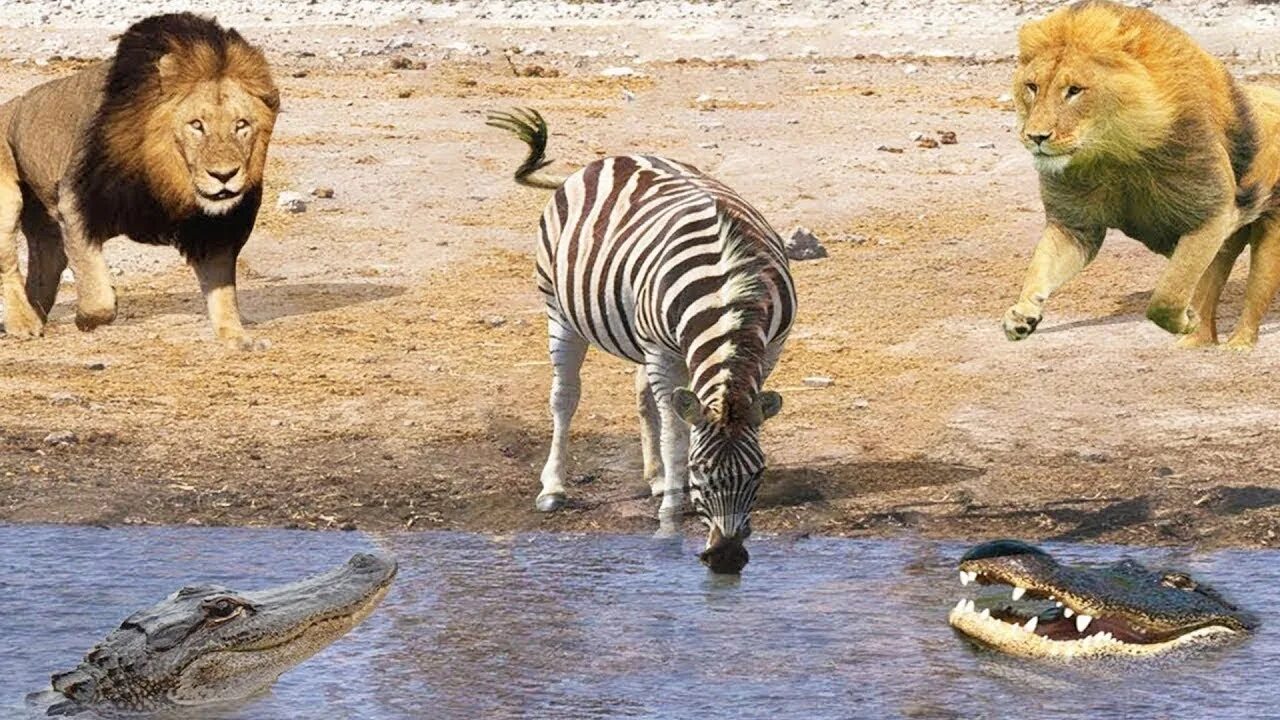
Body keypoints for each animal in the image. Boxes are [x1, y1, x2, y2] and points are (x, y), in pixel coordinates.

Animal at [0, 11, 279, 348]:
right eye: (196, 125)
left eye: (241, 125)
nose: (224, 175)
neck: (167, 178)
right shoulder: (76, 202)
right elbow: (97, 292)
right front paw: (88, 318)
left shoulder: (214, 230)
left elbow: (223, 291)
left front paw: (237, 337)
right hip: (8, 199)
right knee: (8, 264)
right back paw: (22, 322)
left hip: (44, 223)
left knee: (47, 262)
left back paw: (33, 314)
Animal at [486, 107, 793, 571]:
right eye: (700, 472)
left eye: (758, 473)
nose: (726, 559)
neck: (730, 291)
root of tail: (607, 160)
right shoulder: (663, 352)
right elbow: (676, 436)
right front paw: (671, 507)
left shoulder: (768, 348)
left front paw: (668, 484)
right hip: (560, 310)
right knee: (565, 397)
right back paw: (554, 487)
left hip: (641, 336)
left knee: (644, 395)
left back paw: (655, 477)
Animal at [998, 0, 1280, 348]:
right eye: (1032, 87)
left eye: (1074, 90)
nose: (1036, 136)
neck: (1114, 154)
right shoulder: (1074, 226)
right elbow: (1041, 265)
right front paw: (1020, 315)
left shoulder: (1212, 211)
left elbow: (1169, 292)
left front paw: (1184, 318)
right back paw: (1194, 343)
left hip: (1269, 232)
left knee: (1254, 294)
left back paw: (1236, 345)